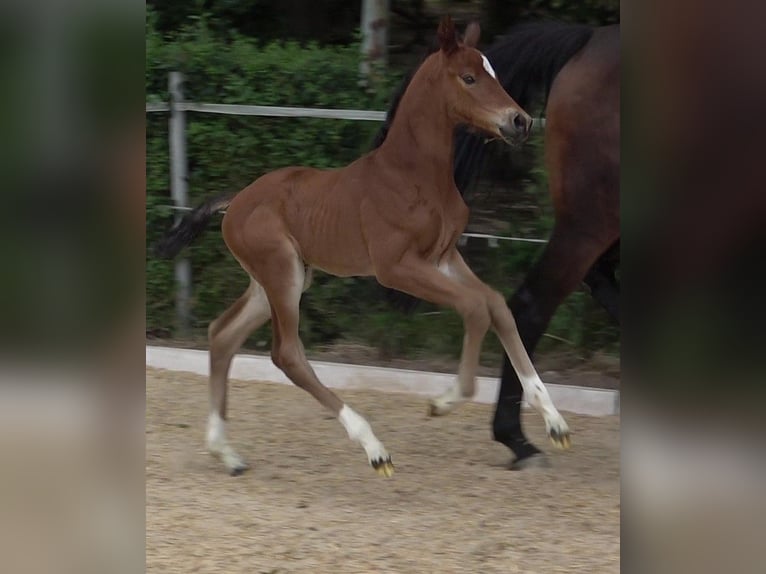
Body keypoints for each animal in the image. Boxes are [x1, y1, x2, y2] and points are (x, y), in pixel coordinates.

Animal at [156, 16, 572, 476]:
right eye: (469, 77)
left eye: (493, 72)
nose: (520, 122)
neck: (414, 175)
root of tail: (237, 201)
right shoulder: (396, 267)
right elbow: (475, 307)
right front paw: (443, 402)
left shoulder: (444, 257)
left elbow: (496, 304)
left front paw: (554, 421)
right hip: (281, 274)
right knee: (287, 354)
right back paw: (374, 448)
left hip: (280, 280)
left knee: (222, 334)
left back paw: (226, 453)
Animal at [380, 22, 620, 472]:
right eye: (470, 78)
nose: (518, 122)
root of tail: (588, 41)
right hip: (592, 220)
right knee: (531, 304)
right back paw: (518, 440)